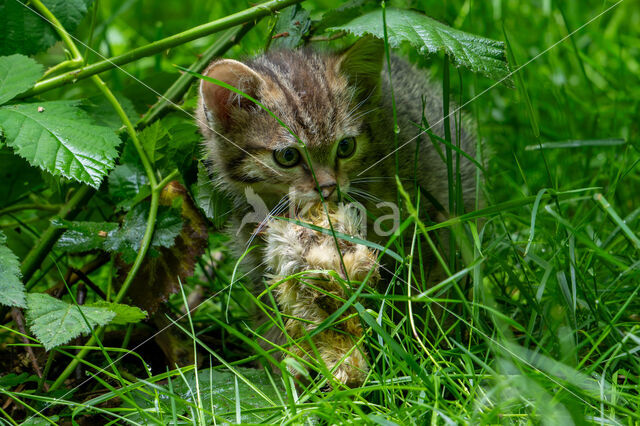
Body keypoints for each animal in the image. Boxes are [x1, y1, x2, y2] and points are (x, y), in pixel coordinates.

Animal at [198, 37, 478, 386]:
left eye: (345, 147)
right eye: (288, 156)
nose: (328, 186)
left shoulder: (422, 229)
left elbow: (423, 296)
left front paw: (424, 353)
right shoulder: (256, 258)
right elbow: (273, 316)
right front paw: (286, 376)